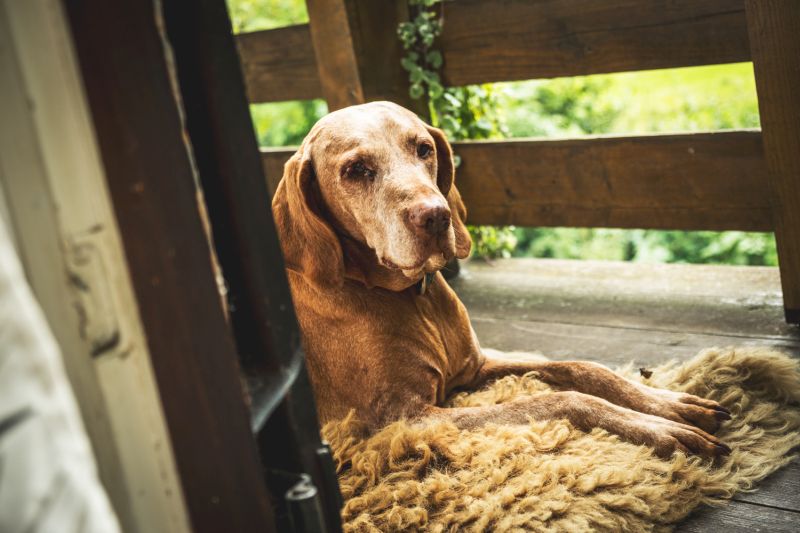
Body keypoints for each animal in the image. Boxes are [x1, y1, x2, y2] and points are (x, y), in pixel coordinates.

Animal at [276, 101, 732, 458]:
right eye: (356, 170)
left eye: (423, 149)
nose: (436, 216)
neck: (414, 298)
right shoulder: (403, 422)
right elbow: (560, 399)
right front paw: (655, 427)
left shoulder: (476, 367)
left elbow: (583, 368)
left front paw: (667, 403)